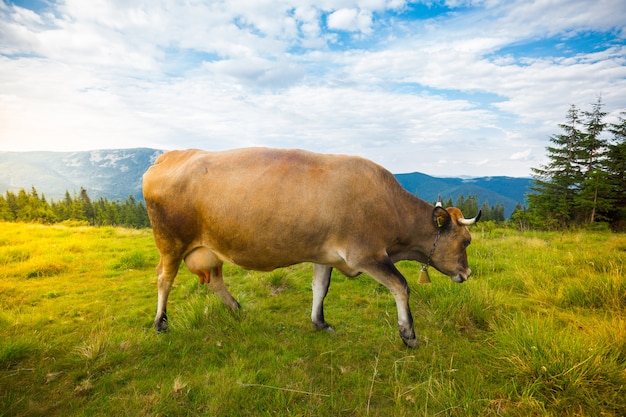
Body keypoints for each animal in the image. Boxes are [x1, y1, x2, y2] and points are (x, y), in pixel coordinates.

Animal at [144, 148, 480, 346]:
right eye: (465, 241)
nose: (467, 273)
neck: (388, 205)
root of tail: (169, 155)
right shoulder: (366, 254)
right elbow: (401, 285)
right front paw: (408, 334)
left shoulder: (324, 253)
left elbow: (321, 287)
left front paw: (319, 322)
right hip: (171, 242)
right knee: (164, 279)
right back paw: (160, 323)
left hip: (210, 248)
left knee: (214, 280)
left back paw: (237, 308)